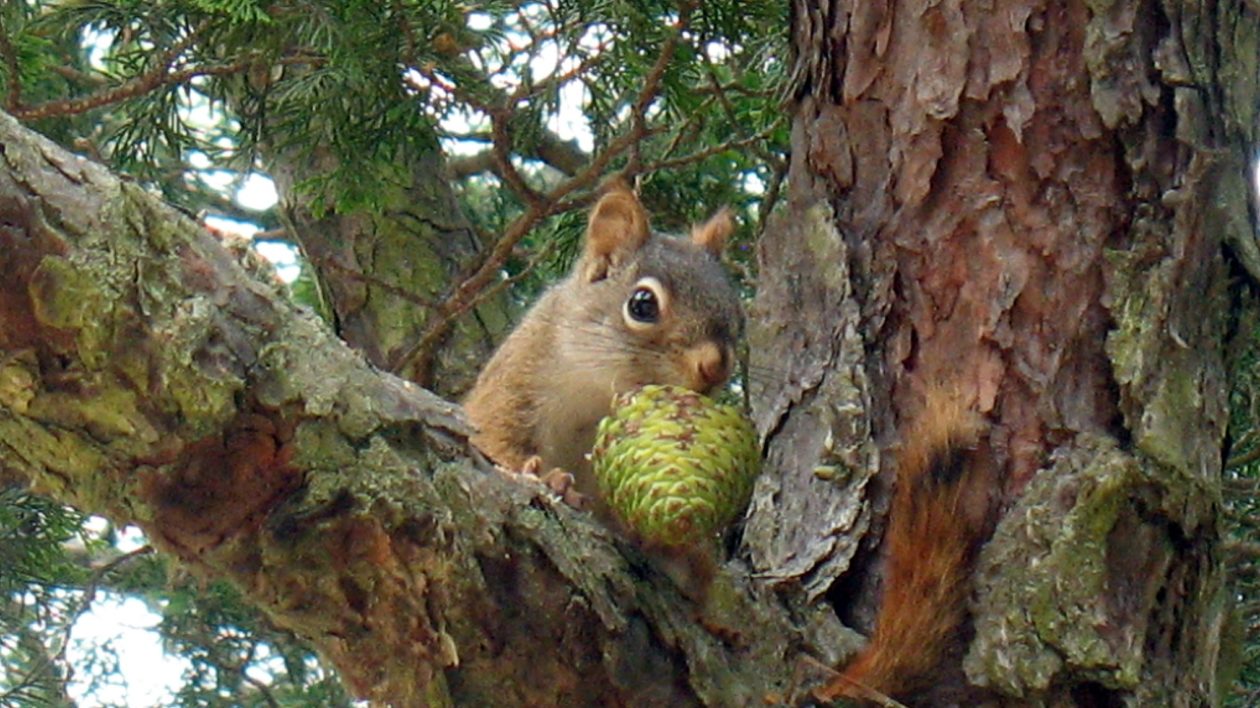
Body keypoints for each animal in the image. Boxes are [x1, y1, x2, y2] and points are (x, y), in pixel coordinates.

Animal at [461, 178, 735, 503]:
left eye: (737, 310)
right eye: (642, 305)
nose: (714, 367)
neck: (596, 390)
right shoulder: (513, 384)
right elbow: (494, 437)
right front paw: (549, 478)